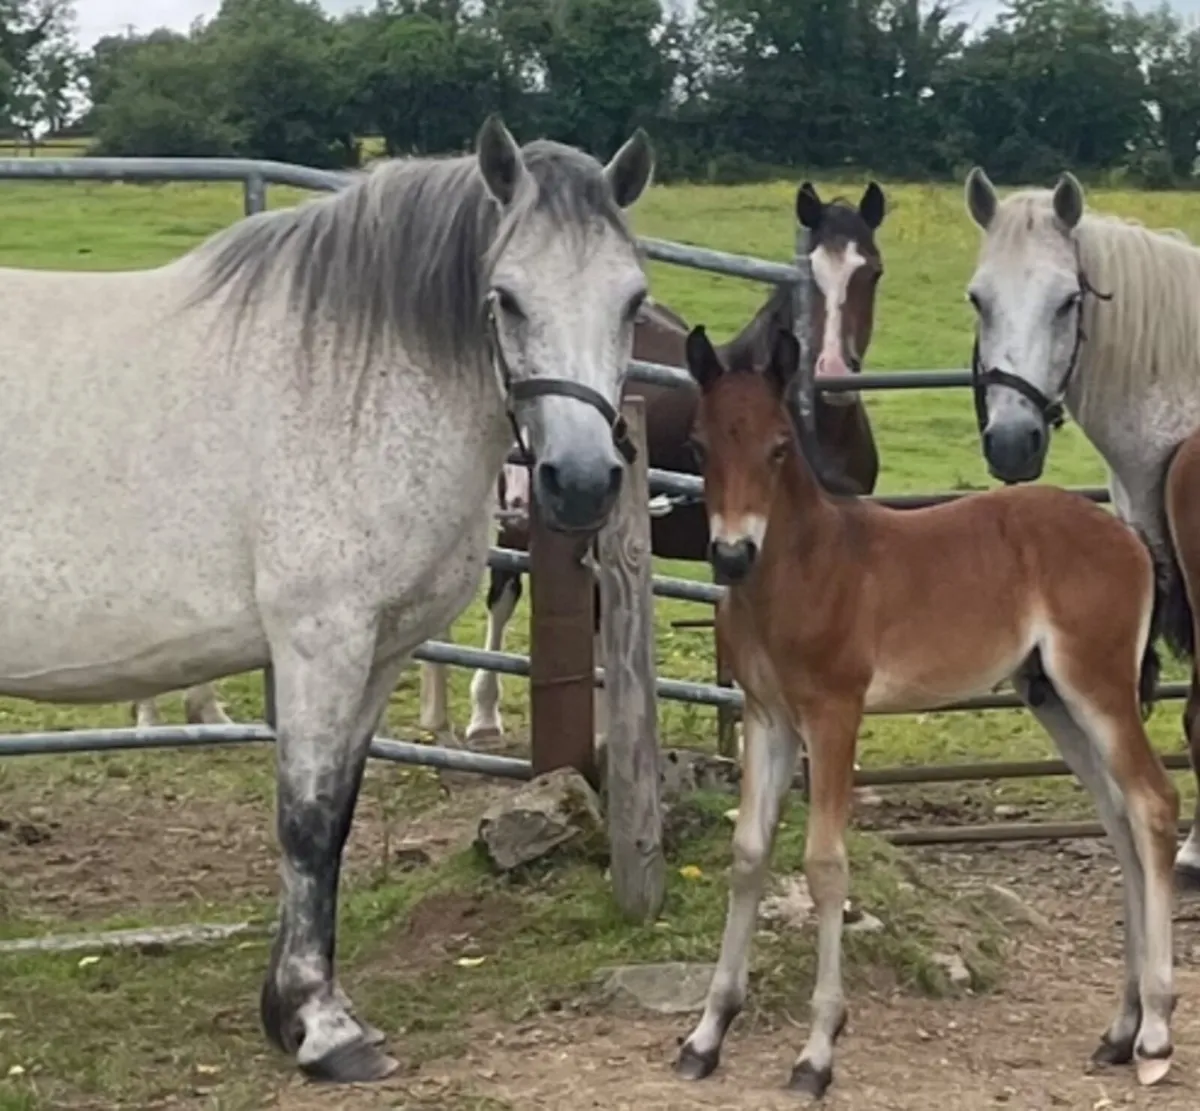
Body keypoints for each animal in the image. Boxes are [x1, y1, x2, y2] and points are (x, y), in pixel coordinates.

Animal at [0, 115, 654, 1083]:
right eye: (506, 299)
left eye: (633, 302)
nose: (578, 482)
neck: (351, 378)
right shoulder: (320, 641)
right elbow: (304, 823)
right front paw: (323, 1028)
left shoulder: (380, 652)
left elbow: (338, 819)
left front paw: (294, 1010)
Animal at [674, 322, 1179, 1098]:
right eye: (699, 447)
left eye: (779, 446)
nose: (731, 554)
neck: (801, 567)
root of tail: (1128, 536)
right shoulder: (768, 718)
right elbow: (749, 852)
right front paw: (707, 1034)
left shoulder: (835, 712)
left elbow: (825, 864)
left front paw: (817, 1053)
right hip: (1054, 698)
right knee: (1120, 820)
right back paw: (1119, 1030)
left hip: (1097, 685)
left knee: (1153, 802)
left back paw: (1156, 1030)